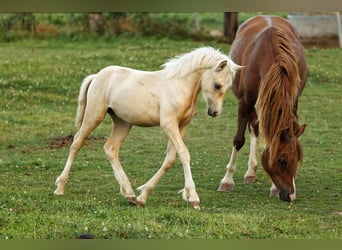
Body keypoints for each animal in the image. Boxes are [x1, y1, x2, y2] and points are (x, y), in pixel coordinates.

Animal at [54, 46, 242, 209]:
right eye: (217, 85)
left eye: (228, 87)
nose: (214, 112)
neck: (179, 86)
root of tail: (97, 76)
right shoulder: (169, 125)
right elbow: (184, 154)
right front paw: (193, 198)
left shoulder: (181, 126)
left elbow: (169, 160)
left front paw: (142, 196)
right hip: (94, 116)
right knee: (77, 143)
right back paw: (60, 187)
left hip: (123, 123)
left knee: (110, 149)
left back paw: (129, 193)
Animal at [218, 15, 308, 202]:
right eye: (282, 161)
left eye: (296, 160)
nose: (291, 196)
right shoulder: (245, 102)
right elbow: (239, 140)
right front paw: (227, 181)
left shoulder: (292, 103)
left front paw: (274, 187)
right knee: (254, 127)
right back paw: (250, 172)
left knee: (256, 127)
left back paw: (252, 171)